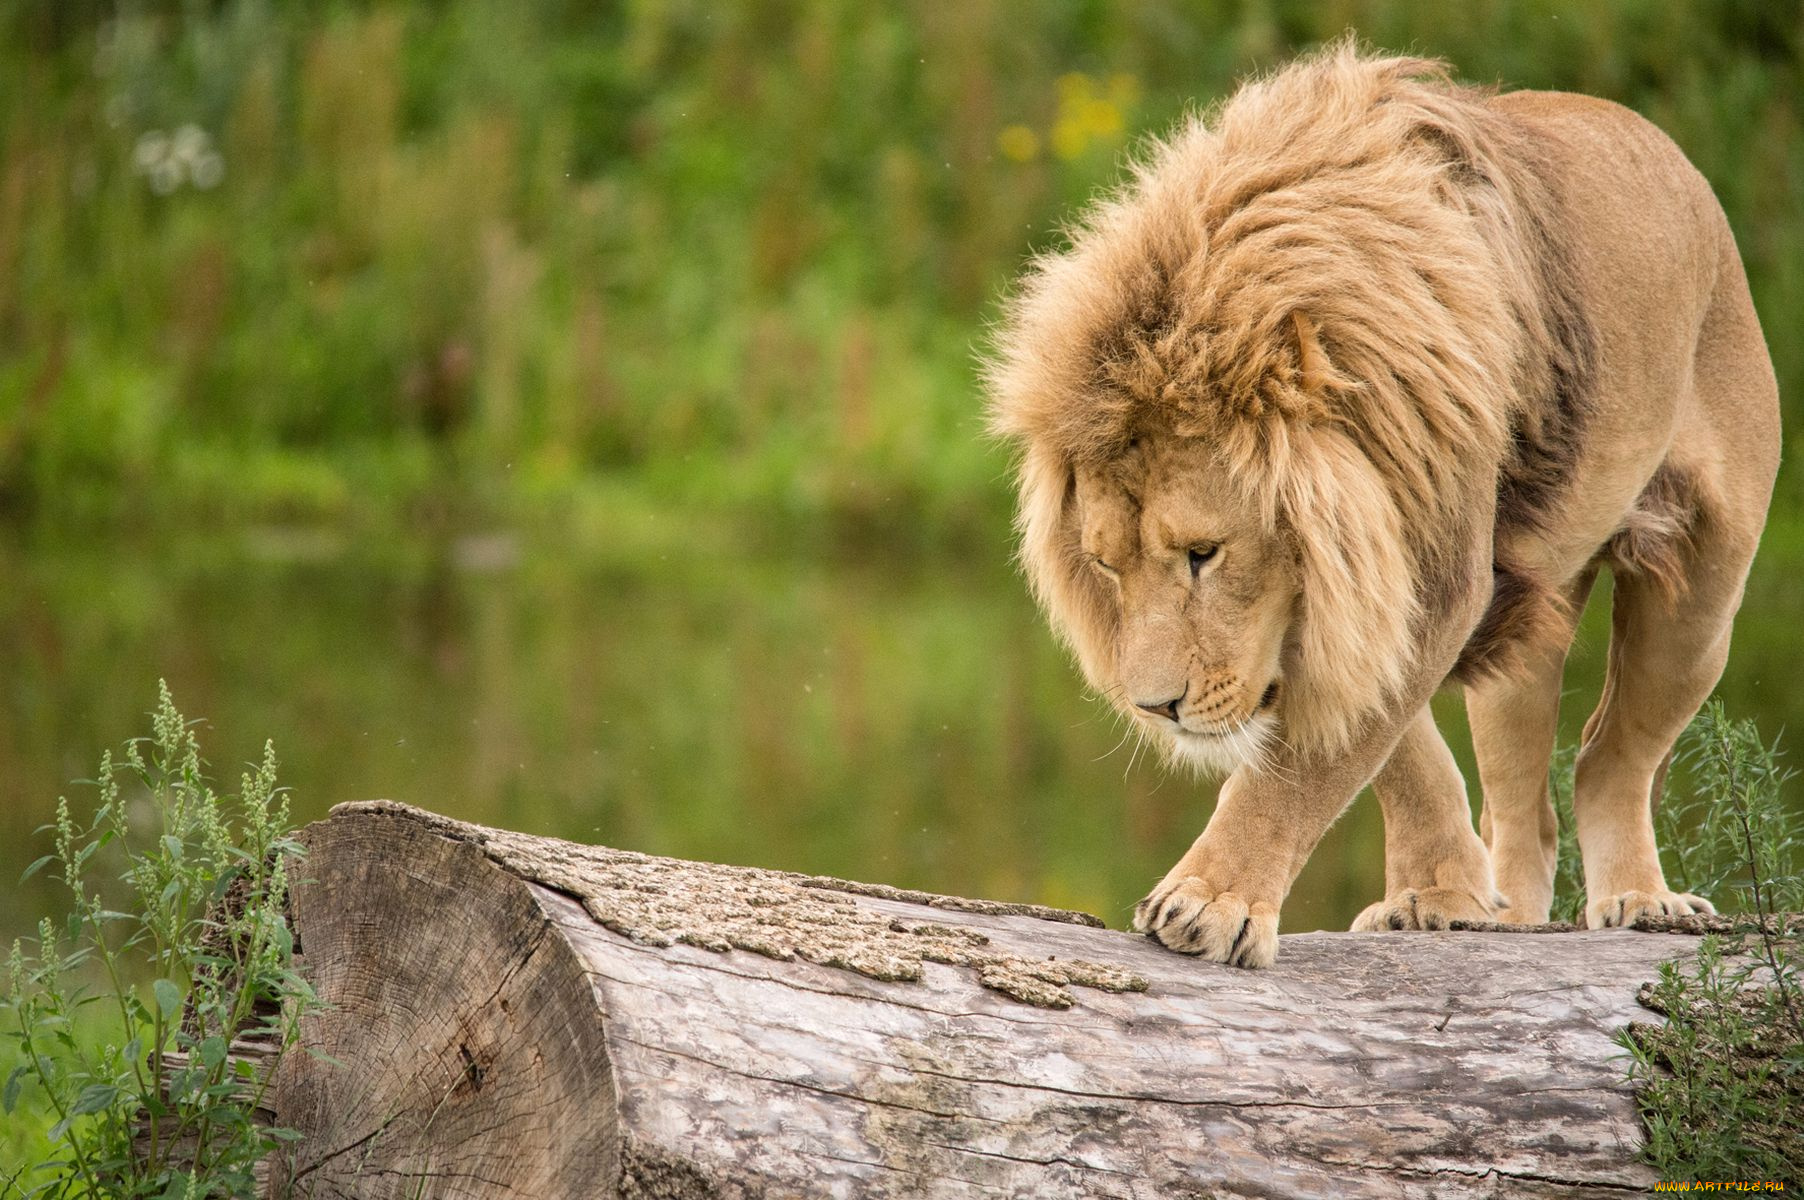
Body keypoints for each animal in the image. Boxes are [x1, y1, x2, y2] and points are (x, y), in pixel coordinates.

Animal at [995, 42, 1782, 967]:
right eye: (1106, 565)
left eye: (1203, 554)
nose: (1155, 708)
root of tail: (1680, 163)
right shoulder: (1374, 582)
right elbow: (1395, 752)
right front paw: (1439, 895)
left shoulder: (1432, 575)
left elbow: (1305, 767)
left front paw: (1211, 901)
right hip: (1528, 645)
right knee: (1526, 801)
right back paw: (1513, 912)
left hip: (1702, 597)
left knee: (1611, 757)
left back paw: (1641, 899)